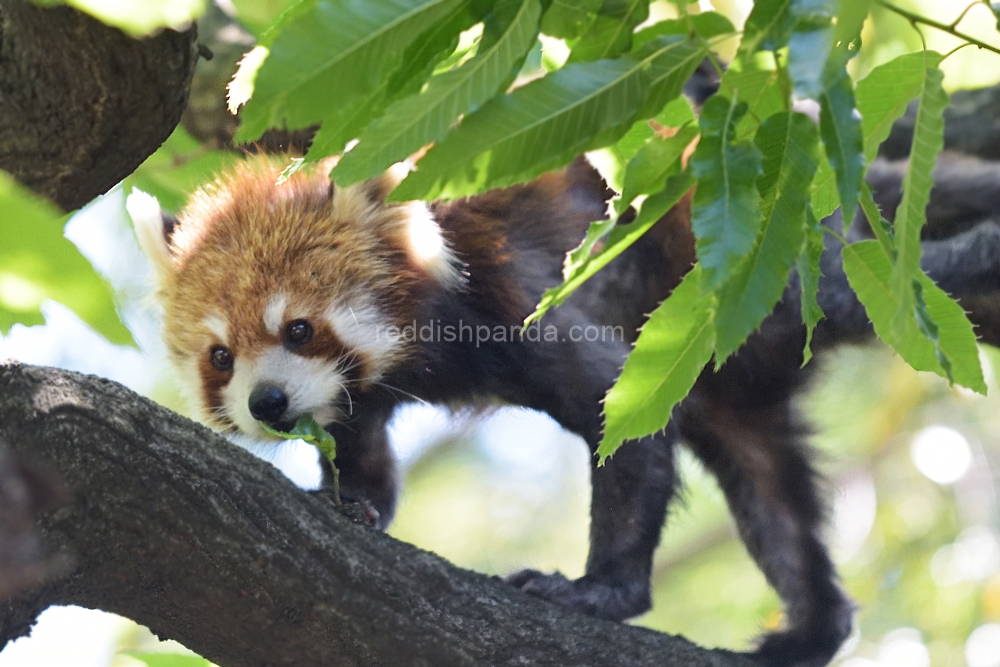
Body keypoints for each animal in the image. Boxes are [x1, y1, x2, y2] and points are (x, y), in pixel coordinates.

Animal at [131, 154, 1000, 664]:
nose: (269, 403)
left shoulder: (512, 299)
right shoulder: (361, 393)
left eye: (299, 328)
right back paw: (810, 628)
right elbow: (364, 452)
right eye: (220, 356)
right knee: (771, 491)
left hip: (770, 263)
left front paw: (602, 590)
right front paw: (350, 501)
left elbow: (617, 410)